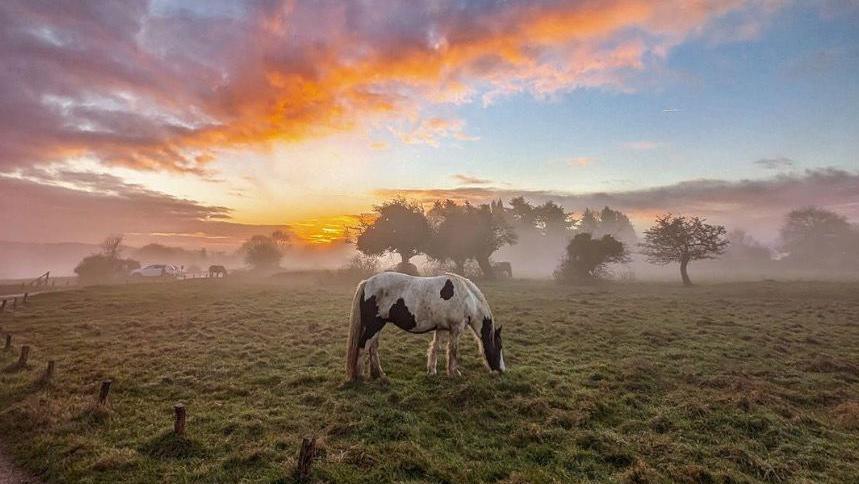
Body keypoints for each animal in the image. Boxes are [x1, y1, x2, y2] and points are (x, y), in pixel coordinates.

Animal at [344, 272, 504, 382]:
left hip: (377, 326)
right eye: (499, 346)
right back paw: (360, 376)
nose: (502, 370)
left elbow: (436, 347)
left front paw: (432, 371)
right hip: (374, 325)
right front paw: (454, 373)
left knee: (373, 347)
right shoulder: (455, 329)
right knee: (363, 346)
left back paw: (379, 374)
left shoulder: (441, 328)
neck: (467, 298)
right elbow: (453, 351)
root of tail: (367, 283)